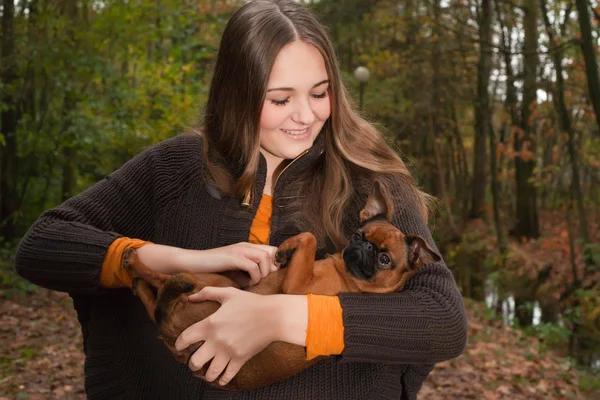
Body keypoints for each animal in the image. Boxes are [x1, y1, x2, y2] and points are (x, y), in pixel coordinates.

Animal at [123, 181, 440, 390]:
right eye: (357, 235)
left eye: (385, 259)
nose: (364, 248)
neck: (345, 275)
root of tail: (174, 336)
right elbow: (304, 239)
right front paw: (285, 250)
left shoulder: (295, 291)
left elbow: (310, 237)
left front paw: (289, 248)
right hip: (219, 282)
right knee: (156, 296)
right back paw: (137, 279)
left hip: (208, 284)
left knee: (163, 282)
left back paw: (135, 263)